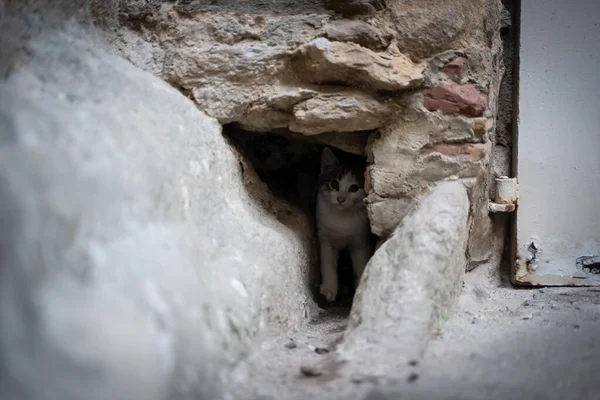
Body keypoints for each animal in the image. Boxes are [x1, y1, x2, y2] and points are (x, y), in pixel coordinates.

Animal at [314, 148, 370, 302]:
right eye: (334, 184)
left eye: (354, 188)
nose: (341, 199)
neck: (342, 218)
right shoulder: (325, 238)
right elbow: (327, 264)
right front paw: (329, 289)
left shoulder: (361, 242)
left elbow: (360, 267)